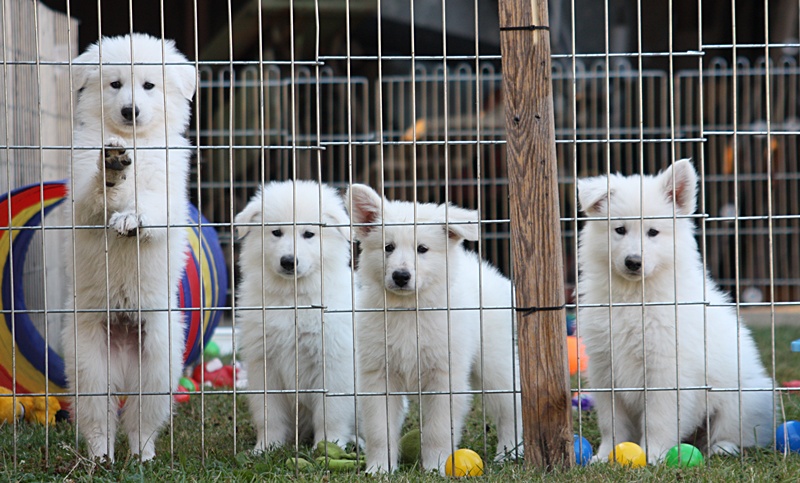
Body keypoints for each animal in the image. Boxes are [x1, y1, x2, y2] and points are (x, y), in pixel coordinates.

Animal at [61, 33, 196, 462]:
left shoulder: (167, 192)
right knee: (99, 421)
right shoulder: (81, 195)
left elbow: (150, 205)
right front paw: (111, 170)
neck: (137, 143)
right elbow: (95, 194)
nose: (129, 110)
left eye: (149, 85)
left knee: (141, 422)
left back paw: (143, 456)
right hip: (88, 365)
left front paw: (131, 218)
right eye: (115, 84)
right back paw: (101, 457)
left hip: (158, 364)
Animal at [235, 180, 357, 452]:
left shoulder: (332, 363)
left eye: (309, 234)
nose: (289, 261)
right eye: (276, 233)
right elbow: (269, 413)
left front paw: (327, 445)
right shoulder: (264, 363)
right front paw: (265, 447)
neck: (292, 298)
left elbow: (330, 413)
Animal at [347, 184, 522, 475]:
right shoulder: (378, 376)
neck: (409, 310)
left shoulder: (444, 378)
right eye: (388, 247)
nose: (401, 276)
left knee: (511, 407)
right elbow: (380, 429)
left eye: (422, 249)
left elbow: (438, 429)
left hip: (495, 362)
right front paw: (379, 469)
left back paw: (510, 452)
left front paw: (435, 467)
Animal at [577, 159, 775, 464]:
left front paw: (654, 456)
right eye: (619, 230)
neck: (635, 297)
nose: (633, 262)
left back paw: (722, 447)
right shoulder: (604, 368)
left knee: (734, 431)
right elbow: (612, 422)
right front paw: (606, 455)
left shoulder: (667, 371)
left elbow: (659, 419)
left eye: (653, 232)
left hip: (740, 398)